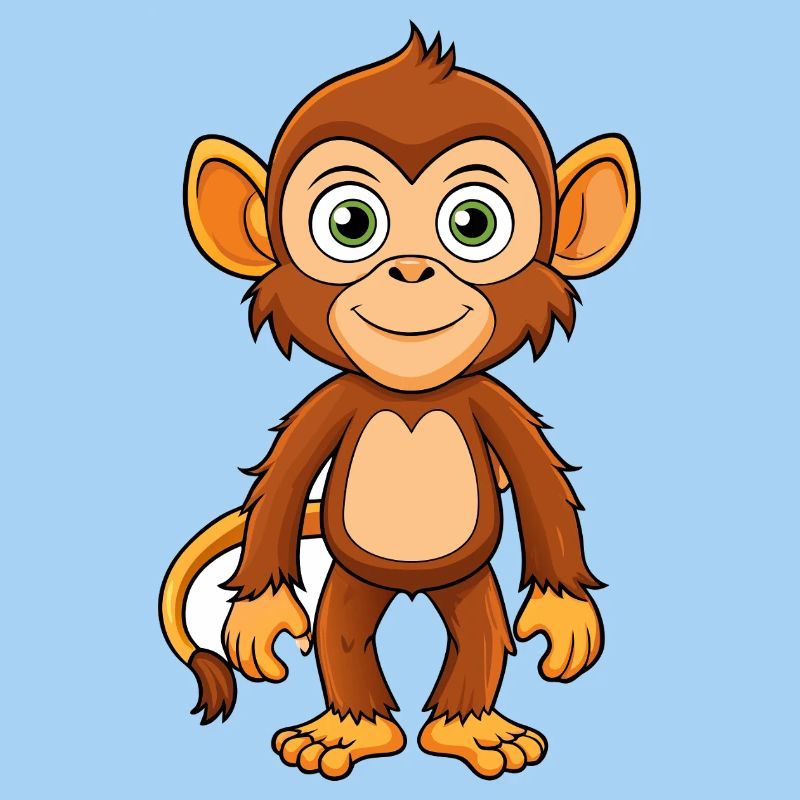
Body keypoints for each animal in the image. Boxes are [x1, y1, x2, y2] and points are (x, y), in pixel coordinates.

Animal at [159, 26, 639, 780]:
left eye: (473, 223)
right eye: (350, 223)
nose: (411, 269)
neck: (412, 395)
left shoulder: (493, 403)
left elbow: (541, 489)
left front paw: (564, 616)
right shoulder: (329, 405)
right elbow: (280, 489)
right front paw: (261, 618)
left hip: (468, 581)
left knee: (479, 636)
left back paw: (474, 731)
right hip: (353, 580)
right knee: (342, 634)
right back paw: (345, 733)